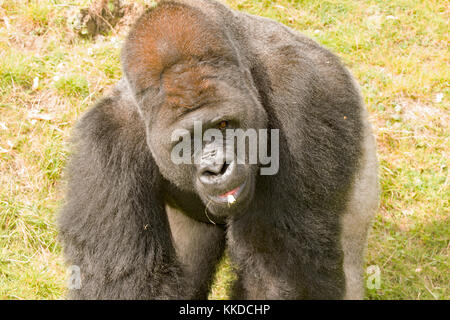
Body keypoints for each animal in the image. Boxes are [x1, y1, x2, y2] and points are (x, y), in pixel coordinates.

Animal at [58, 0, 378, 300]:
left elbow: (280, 269)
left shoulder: (304, 96)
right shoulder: (104, 140)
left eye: (224, 124)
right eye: (185, 141)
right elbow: (127, 281)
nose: (216, 168)